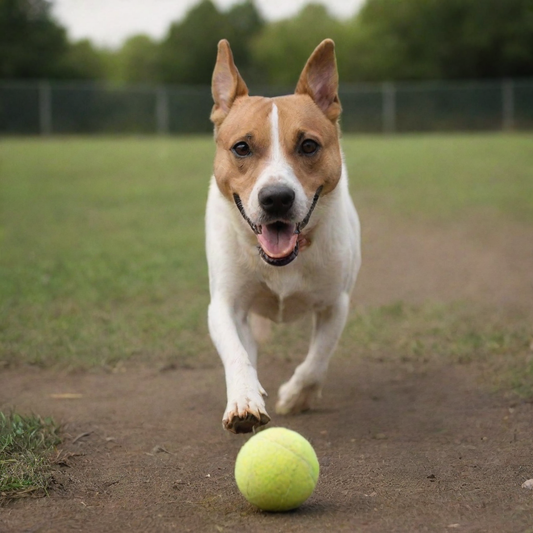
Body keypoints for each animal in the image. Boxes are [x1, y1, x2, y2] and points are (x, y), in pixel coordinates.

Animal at [206, 40, 360, 432]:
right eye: (241, 147)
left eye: (308, 146)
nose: (276, 198)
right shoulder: (225, 304)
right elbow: (237, 353)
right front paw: (244, 400)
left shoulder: (335, 303)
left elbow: (318, 359)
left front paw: (296, 396)